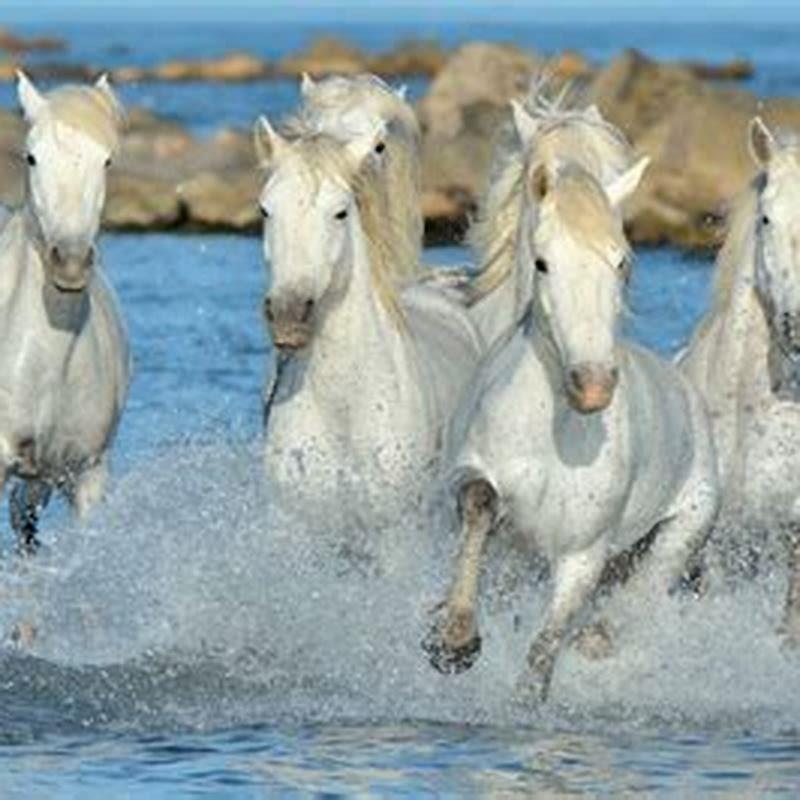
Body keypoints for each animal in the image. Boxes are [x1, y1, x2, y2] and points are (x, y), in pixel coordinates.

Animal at [423, 104, 719, 702]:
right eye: (542, 263)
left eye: (622, 261)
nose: (593, 386)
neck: (551, 432)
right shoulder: (473, 489)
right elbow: (480, 506)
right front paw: (454, 640)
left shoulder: (583, 556)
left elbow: (542, 653)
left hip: (681, 532)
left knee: (628, 606)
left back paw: (598, 641)